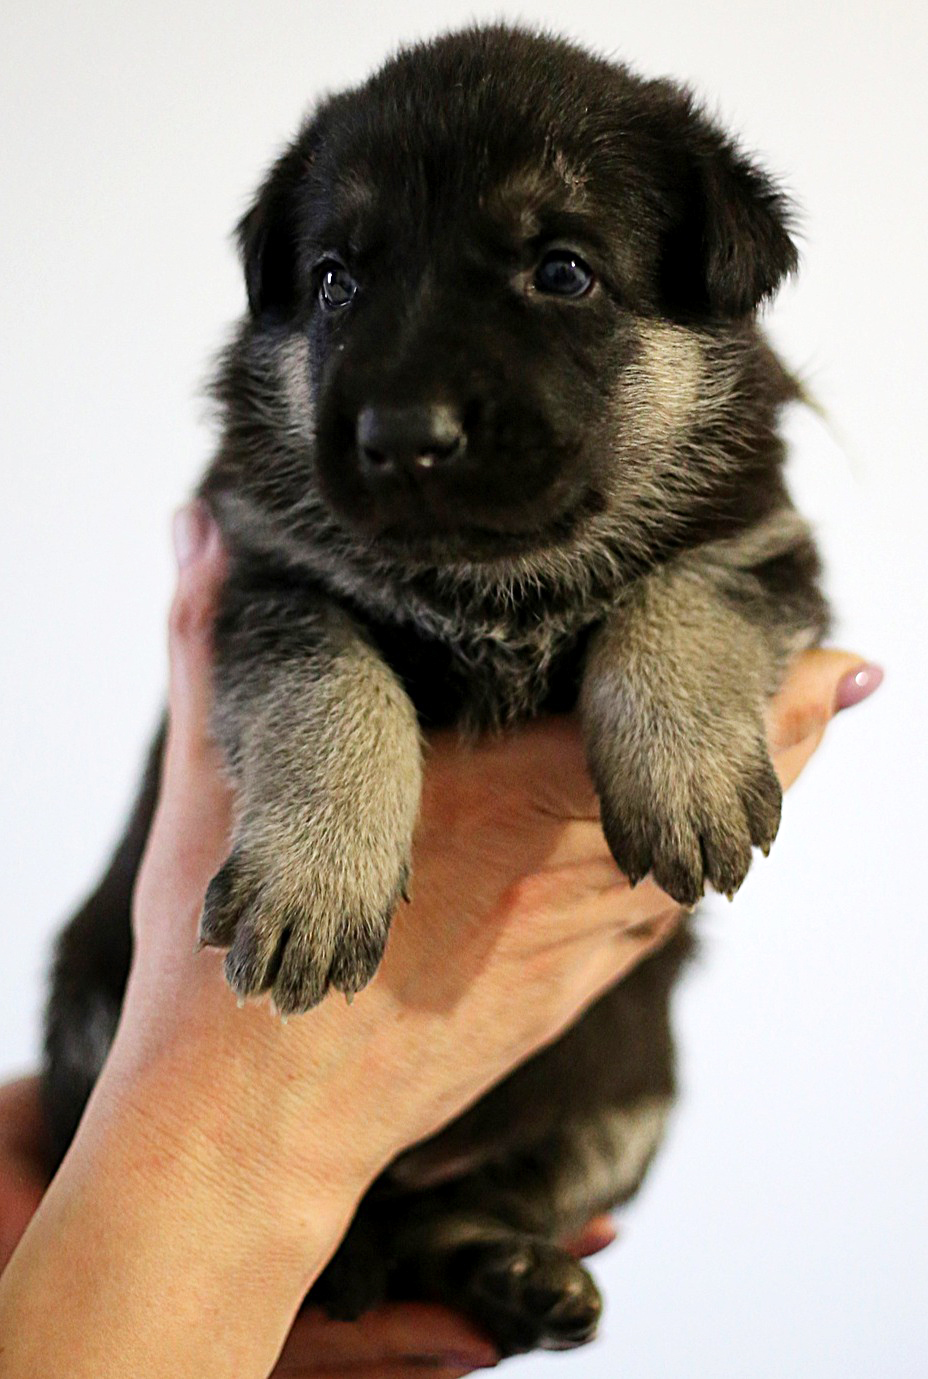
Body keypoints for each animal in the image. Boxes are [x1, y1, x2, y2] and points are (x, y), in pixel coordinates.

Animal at [41, 24, 827, 1356]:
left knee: (471, 1207)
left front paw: (683, 768)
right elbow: (332, 684)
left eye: (561, 271)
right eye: (336, 284)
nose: (401, 434)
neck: (491, 578)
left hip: (629, 1090)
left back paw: (514, 1273)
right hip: (89, 1003)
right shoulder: (266, 578)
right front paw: (318, 874)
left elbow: (684, 594)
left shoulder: (770, 548)